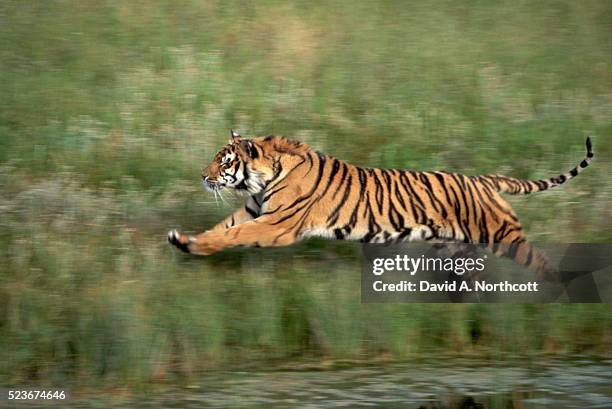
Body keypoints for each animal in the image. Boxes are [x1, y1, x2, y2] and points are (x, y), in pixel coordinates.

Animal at [167, 130, 592, 278]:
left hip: (504, 235)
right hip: (455, 247)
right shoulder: (254, 209)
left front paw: (197, 245)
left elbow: (232, 234)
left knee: (541, 261)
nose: (202, 175)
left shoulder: (275, 225)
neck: (266, 177)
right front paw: (185, 241)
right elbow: (222, 228)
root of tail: (484, 180)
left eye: (224, 162)